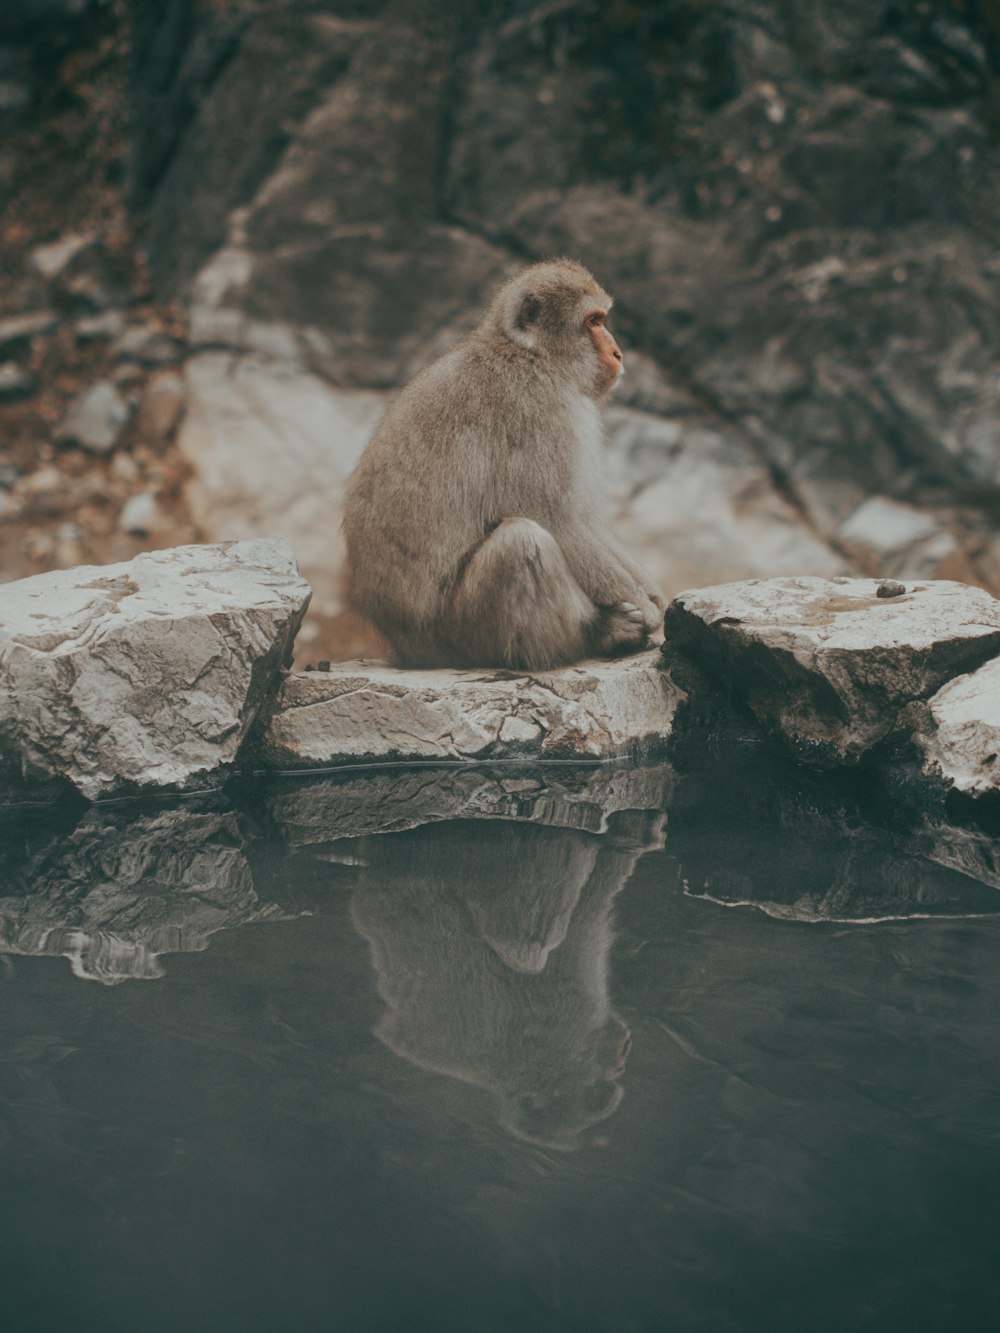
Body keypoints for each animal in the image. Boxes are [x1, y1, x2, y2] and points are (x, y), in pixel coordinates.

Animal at [344, 258, 666, 671]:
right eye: (593, 321)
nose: (618, 353)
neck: (529, 353)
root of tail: (405, 649)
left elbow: (585, 519)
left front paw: (653, 595)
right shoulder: (537, 407)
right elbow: (555, 518)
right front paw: (645, 609)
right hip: (460, 635)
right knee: (521, 541)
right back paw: (598, 634)